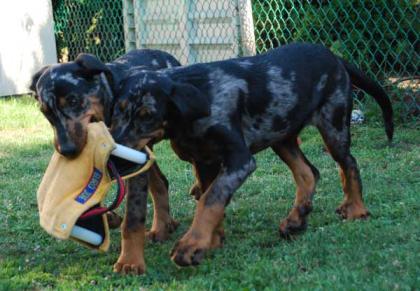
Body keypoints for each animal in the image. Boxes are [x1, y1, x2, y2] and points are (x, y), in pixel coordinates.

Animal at [29, 49, 180, 274]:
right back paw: (162, 227)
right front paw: (109, 218)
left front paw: (130, 261)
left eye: (73, 101)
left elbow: (133, 216)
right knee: (161, 182)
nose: (67, 150)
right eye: (45, 112)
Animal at [110, 42, 394, 268]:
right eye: (117, 110)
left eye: (147, 116)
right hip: (281, 135)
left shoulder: (240, 159)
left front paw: (191, 245)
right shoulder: (205, 161)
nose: (113, 159)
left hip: (333, 125)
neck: (202, 95)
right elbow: (212, 199)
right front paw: (211, 241)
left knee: (349, 164)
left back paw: (356, 209)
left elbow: (210, 200)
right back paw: (296, 219)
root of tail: (336, 58)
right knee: (308, 172)